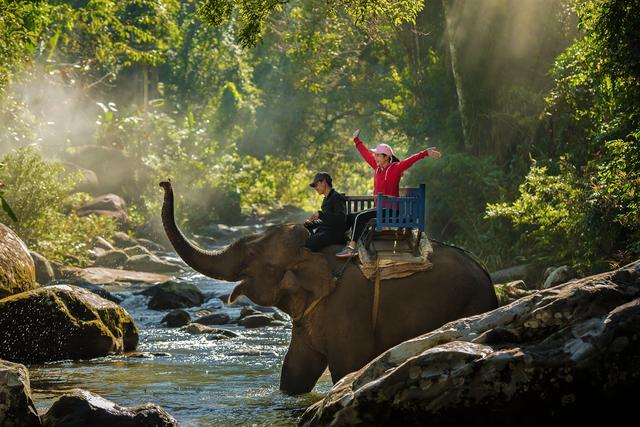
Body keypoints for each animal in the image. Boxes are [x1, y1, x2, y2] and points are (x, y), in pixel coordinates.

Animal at [158, 181, 498, 394]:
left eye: (253, 255)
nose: (164, 183)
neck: (316, 250)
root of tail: (487, 274)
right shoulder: (308, 318)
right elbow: (295, 372)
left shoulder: (347, 308)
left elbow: (348, 368)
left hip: (472, 302)